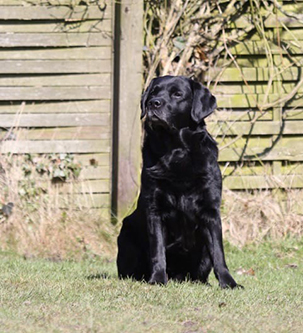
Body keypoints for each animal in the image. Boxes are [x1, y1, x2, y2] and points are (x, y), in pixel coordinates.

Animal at [117, 75, 241, 288]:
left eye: (177, 94)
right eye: (154, 92)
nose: (153, 103)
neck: (176, 151)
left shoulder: (210, 211)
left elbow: (218, 252)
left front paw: (229, 282)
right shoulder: (155, 210)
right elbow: (158, 250)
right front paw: (158, 279)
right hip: (126, 234)